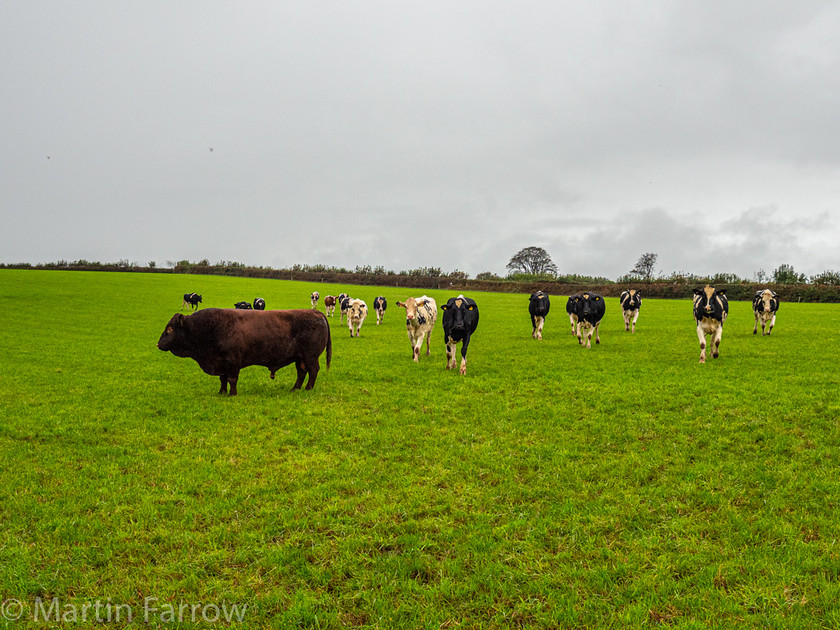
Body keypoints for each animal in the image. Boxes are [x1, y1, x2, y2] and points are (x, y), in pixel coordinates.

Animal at [158, 310, 332, 396]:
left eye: (170, 328)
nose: (158, 344)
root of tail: (315, 312)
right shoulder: (222, 363)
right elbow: (223, 379)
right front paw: (221, 392)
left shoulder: (232, 362)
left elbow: (232, 379)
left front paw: (232, 394)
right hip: (299, 358)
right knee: (301, 373)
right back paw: (294, 389)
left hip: (310, 356)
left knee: (313, 371)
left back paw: (308, 389)